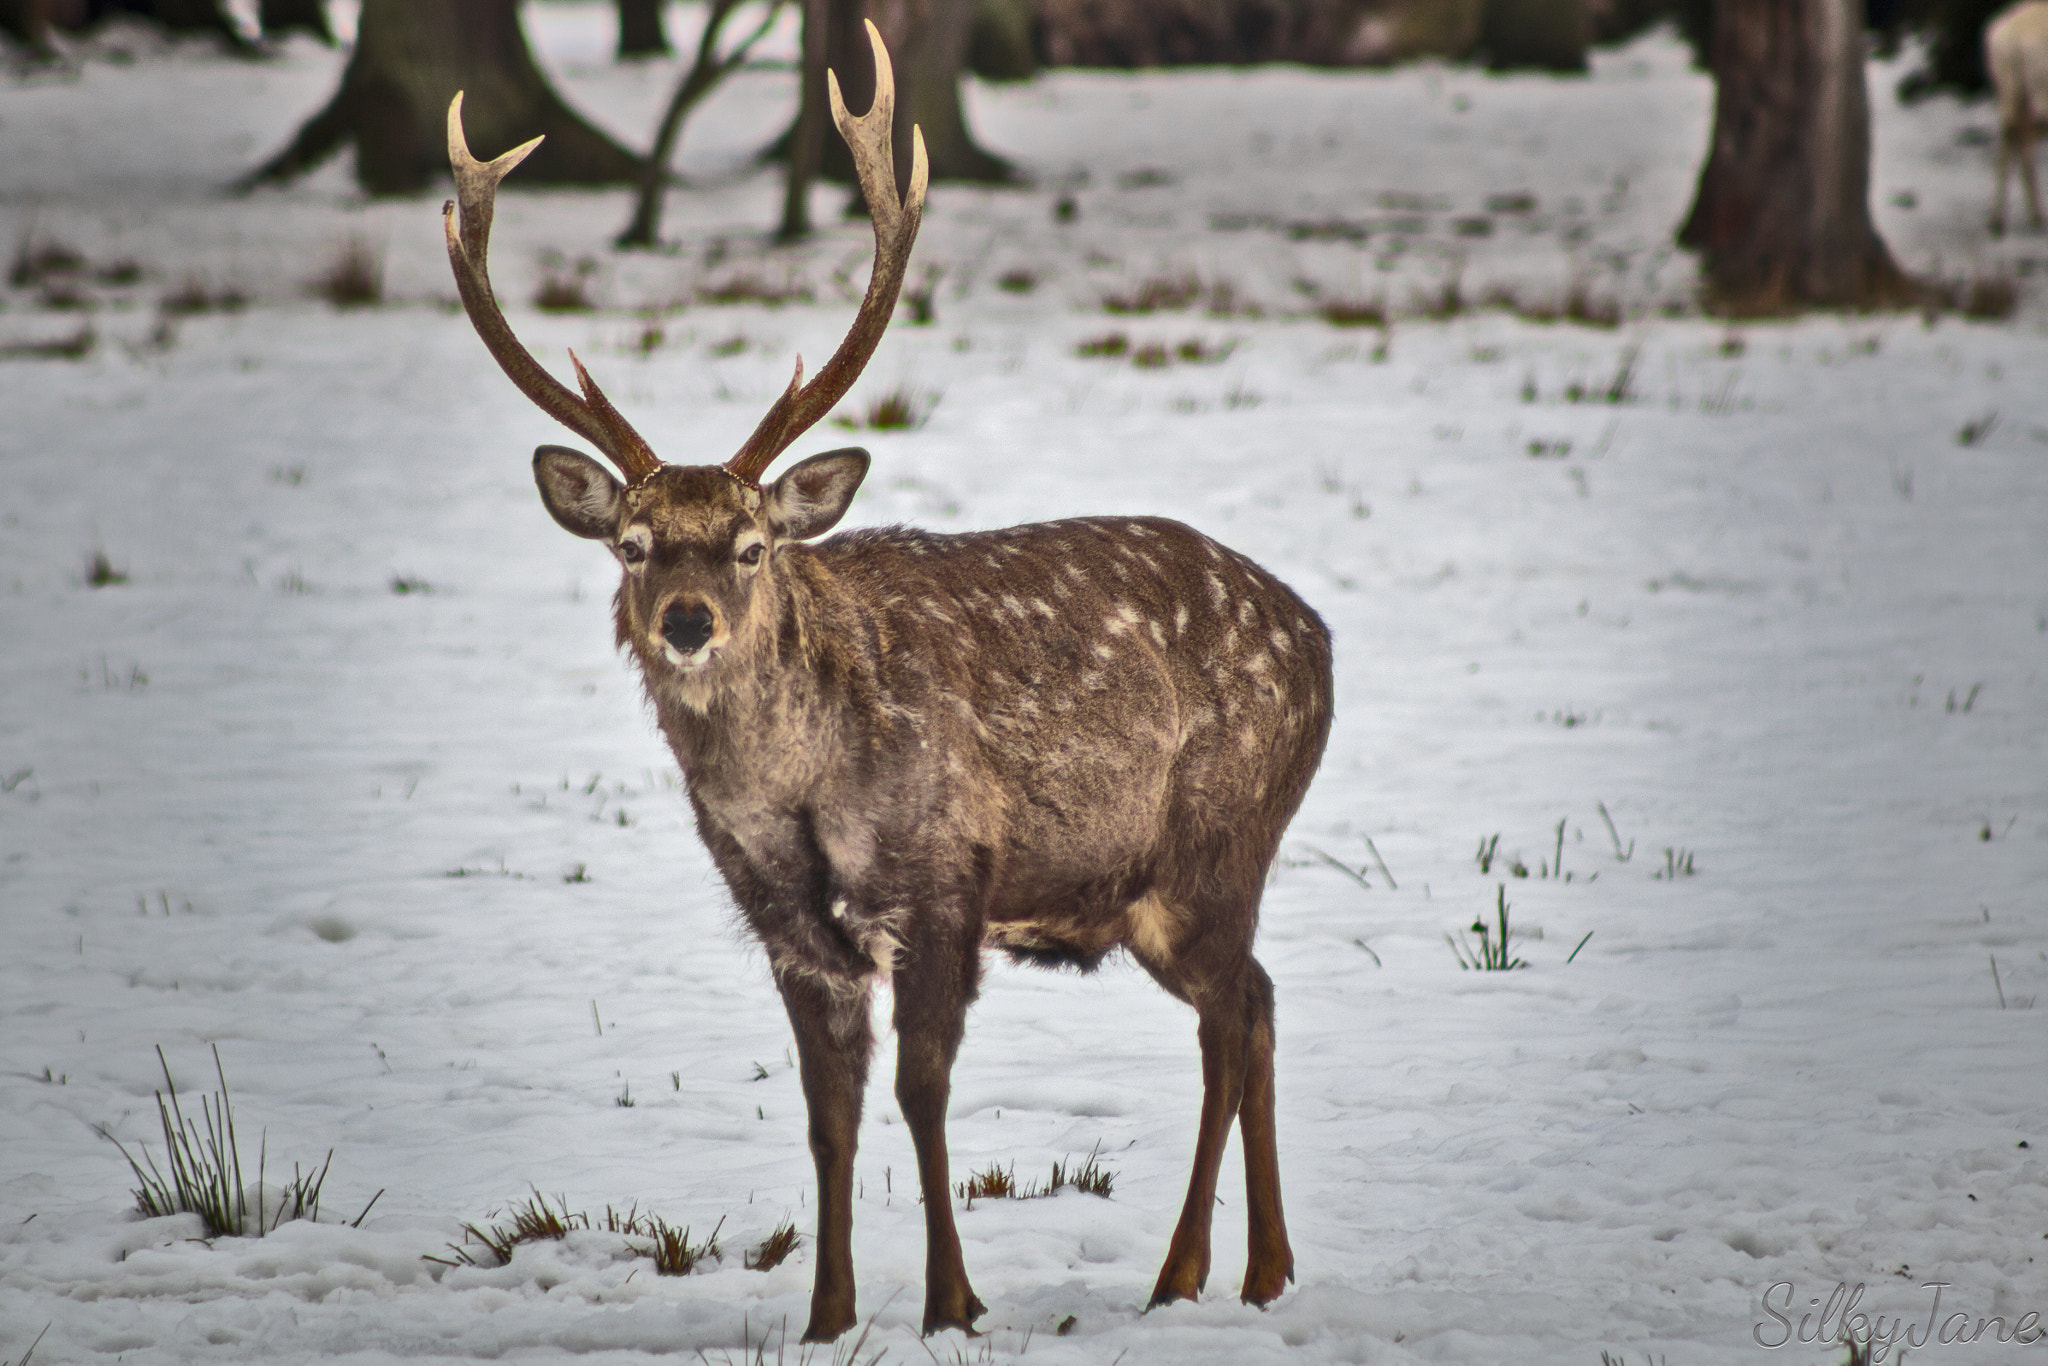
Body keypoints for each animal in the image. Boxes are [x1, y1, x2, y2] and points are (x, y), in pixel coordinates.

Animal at [442, 24, 1335, 1343]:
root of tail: (1320, 641)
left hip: (1212, 844)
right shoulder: (786, 924)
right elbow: (828, 1117)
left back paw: (1189, 1275)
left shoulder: (943, 882)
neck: (802, 794)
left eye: (751, 544)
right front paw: (825, 1315)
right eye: (635, 544)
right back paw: (1258, 1270)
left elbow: (922, 1094)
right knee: (1259, 1005)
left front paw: (951, 1302)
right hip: (1153, 891)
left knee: (1232, 1021)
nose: (689, 623)